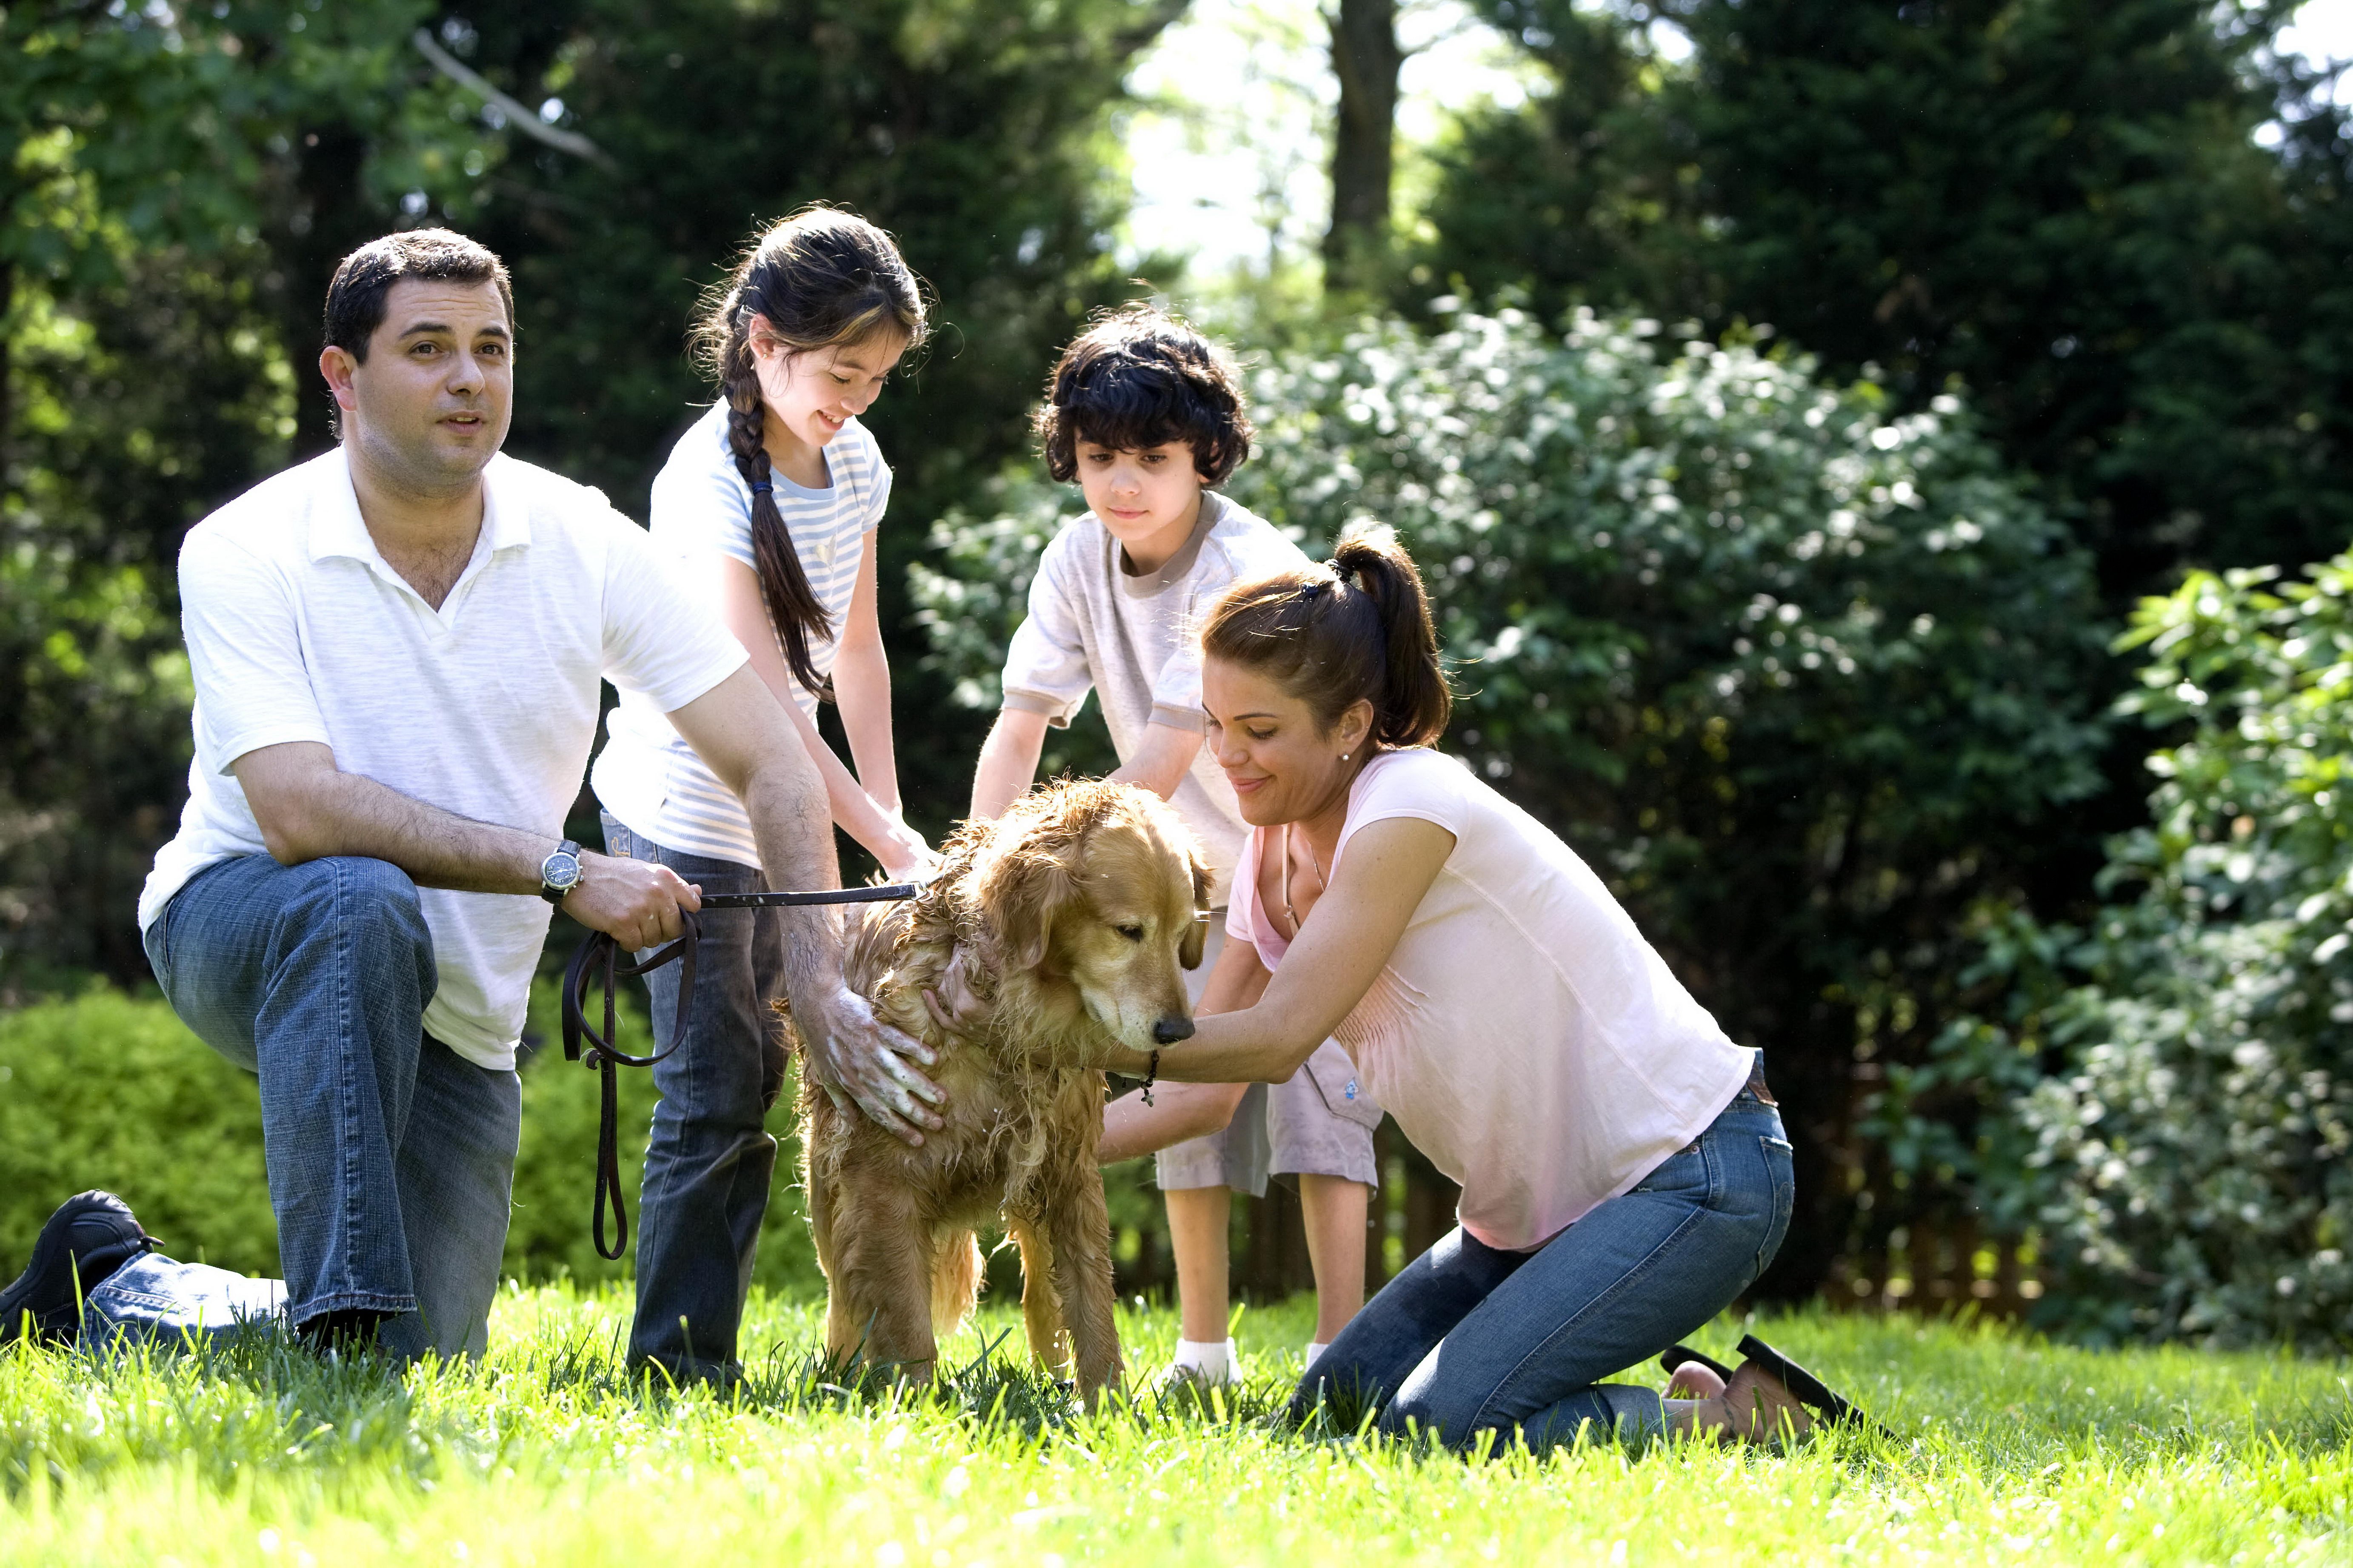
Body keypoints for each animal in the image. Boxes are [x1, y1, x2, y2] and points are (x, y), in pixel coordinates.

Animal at [781, 785, 1205, 1410]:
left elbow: (1090, 1300)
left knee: (1040, 1295)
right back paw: (841, 1368)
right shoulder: (881, 1178)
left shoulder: (1069, 1170)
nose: (1179, 1031)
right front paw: (916, 1406)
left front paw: (1106, 1406)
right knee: (843, 1291)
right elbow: (905, 1320)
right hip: (827, 1183)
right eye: (1128, 931)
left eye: (1182, 936)